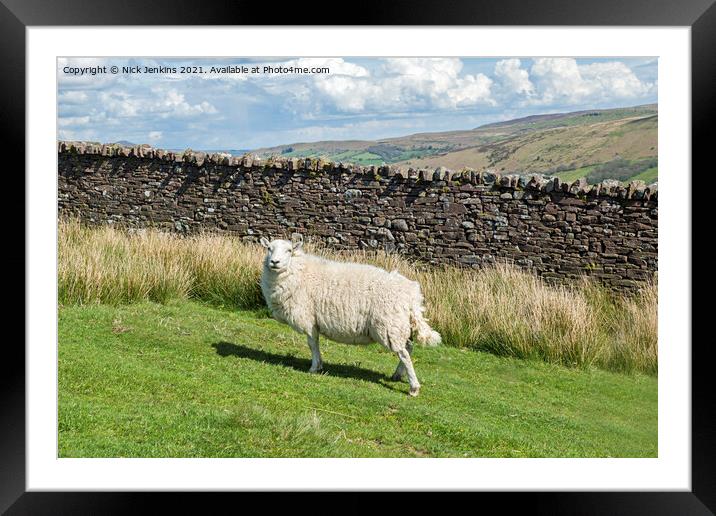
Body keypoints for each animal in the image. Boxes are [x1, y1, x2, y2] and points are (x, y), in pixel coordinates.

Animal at [260, 236, 440, 398]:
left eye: (289, 250)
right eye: (269, 248)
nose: (274, 262)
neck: (298, 271)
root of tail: (412, 294)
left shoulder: (308, 319)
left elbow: (312, 344)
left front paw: (314, 368)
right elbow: (315, 344)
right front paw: (319, 365)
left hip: (388, 325)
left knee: (404, 354)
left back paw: (413, 388)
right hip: (397, 324)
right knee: (408, 347)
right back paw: (397, 375)